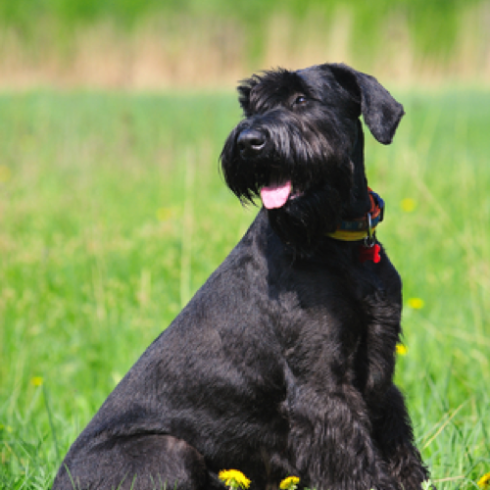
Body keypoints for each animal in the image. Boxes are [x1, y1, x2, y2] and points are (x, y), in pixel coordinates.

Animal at [52, 64, 428, 490]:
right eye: (252, 107)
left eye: (301, 99)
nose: (249, 142)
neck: (337, 244)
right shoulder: (321, 384)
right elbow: (353, 460)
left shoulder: (380, 373)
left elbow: (395, 439)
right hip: (169, 452)